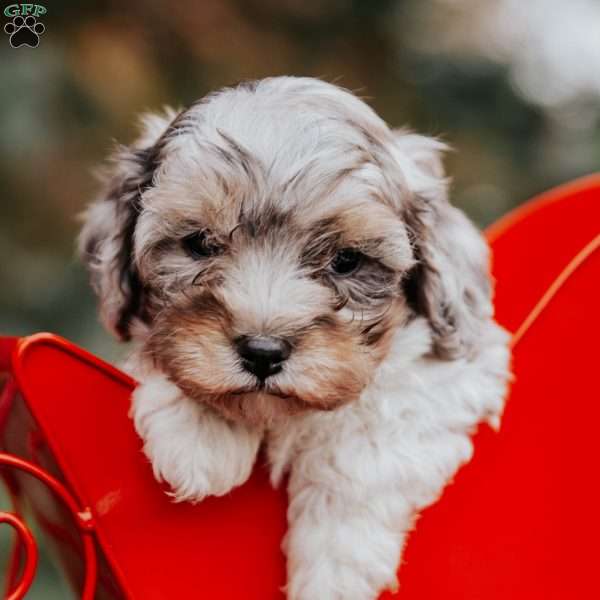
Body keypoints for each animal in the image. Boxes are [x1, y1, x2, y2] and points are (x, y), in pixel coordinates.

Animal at [79, 77, 510, 600]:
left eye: (346, 261)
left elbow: (364, 443)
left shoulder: (458, 369)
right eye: (199, 244)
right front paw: (200, 434)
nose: (263, 353)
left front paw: (332, 572)